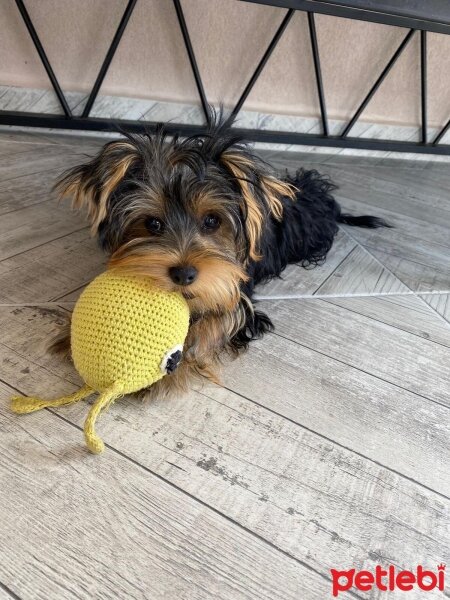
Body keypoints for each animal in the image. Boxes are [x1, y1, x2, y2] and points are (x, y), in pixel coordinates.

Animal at [51, 119, 386, 396]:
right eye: (152, 224)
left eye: (212, 221)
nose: (183, 274)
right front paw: (69, 336)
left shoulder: (239, 295)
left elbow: (218, 321)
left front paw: (172, 367)